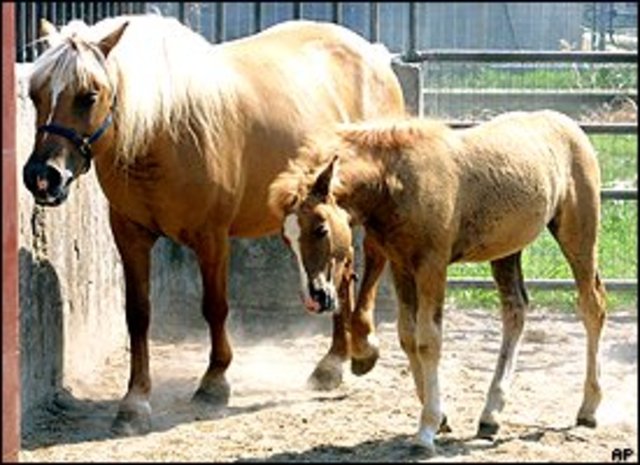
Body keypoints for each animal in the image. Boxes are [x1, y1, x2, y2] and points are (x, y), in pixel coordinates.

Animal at [21, 13, 406, 435]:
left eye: (89, 95)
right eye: (35, 94)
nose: (43, 177)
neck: (164, 128)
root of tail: (375, 55)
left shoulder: (212, 238)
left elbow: (215, 307)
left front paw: (214, 382)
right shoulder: (130, 234)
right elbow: (138, 314)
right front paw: (135, 402)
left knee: (370, 263)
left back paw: (361, 349)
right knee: (341, 269)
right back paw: (333, 362)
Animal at [268, 110, 607, 455]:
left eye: (320, 228)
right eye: (286, 238)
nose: (315, 297)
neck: (395, 181)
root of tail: (568, 124)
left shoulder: (432, 266)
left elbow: (428, 340)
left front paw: (426, 430)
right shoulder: (401, 266)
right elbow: (407, 336)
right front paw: (441, 418)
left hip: (578, 235)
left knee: (592, 306)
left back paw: (588, 409)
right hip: (506, 250)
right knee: (515, 311)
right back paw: (490, 416)